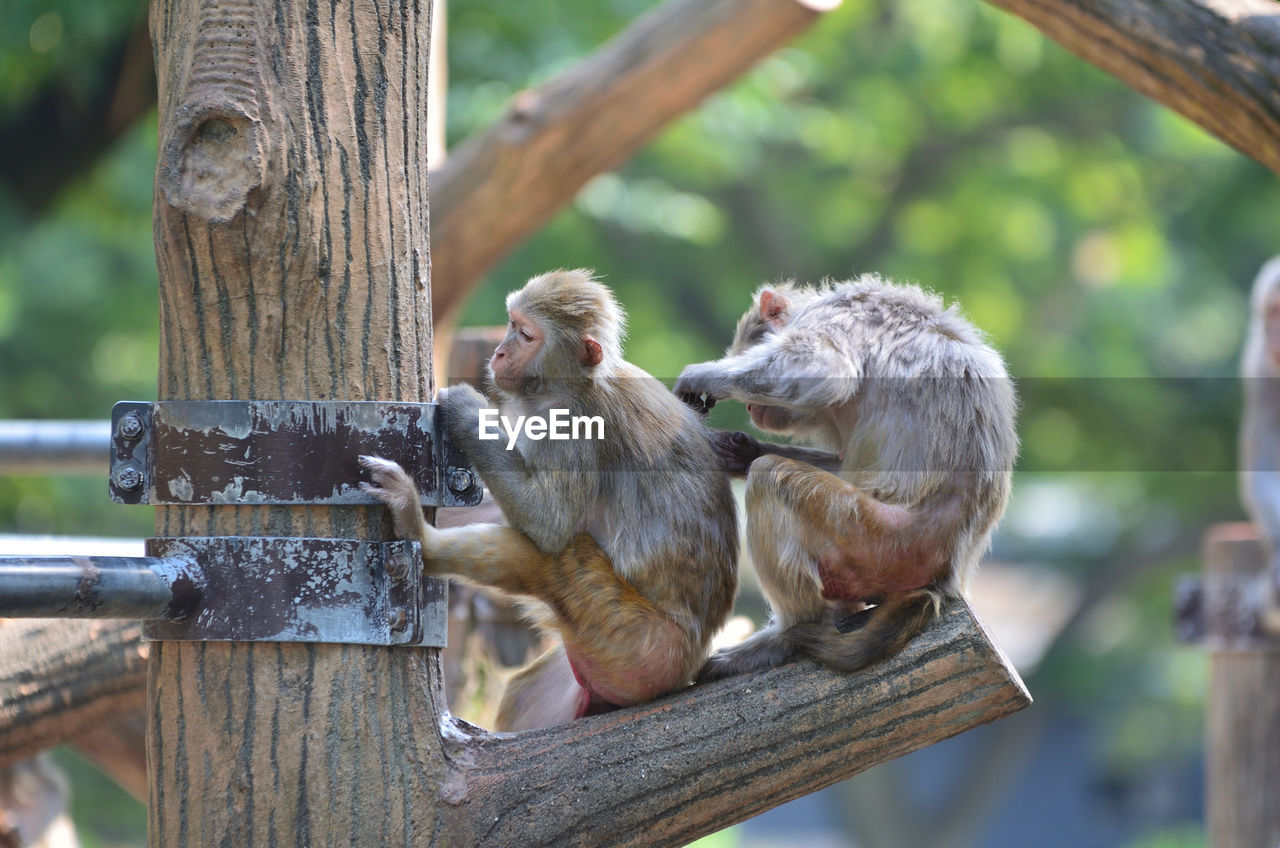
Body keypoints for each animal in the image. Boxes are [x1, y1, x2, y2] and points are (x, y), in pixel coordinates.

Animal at [360, 270, 742, 732]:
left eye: (526, 335)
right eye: (511, 324)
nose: (500, 352)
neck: (579, 381)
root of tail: (687, 664)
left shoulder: (574, 425)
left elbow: (549, 523)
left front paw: (468, 412)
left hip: (638, 646)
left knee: (557, 558)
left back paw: (418, 533)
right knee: (526, 691)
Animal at [670, 275, 1018, 681]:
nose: (752, 408)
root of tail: (948, 575)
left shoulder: (832, 317)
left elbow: (824, 370)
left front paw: (700, 376)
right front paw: (738, 452)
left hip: (876, 542)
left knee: (772, 479)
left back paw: (786, 637)